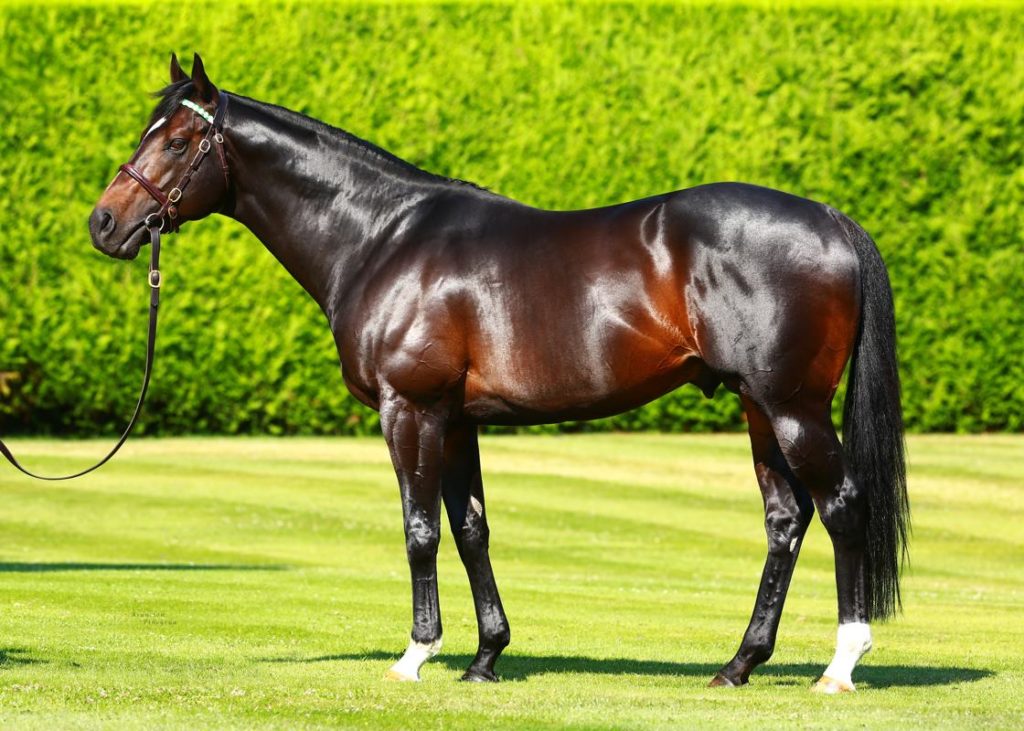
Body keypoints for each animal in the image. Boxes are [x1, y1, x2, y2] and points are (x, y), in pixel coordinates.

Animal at [86, 54, 905, 692]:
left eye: (180, 139)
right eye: (148, 133)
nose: (104, 223)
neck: (381, 237)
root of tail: (830, 218)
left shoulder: (409, 409)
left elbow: (419, 528)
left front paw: (415, 655)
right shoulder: (456, 419)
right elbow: (470, 527)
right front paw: (486, 656)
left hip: (792, 405)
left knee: (840, 507)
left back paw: (840, 665)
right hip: (759, 407)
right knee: (785, 521)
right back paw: (738, 664)